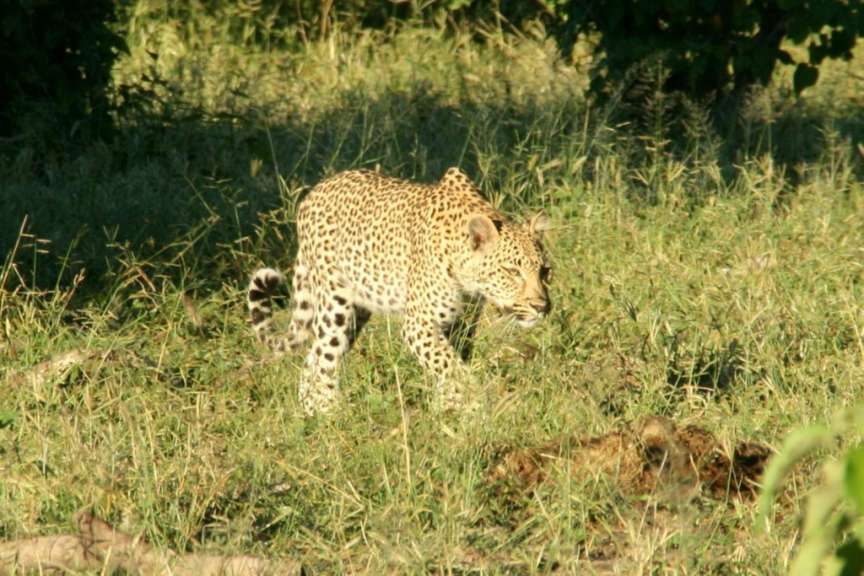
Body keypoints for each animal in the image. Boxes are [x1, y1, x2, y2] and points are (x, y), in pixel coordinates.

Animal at [247, 167, 552, 416]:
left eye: (545, 271)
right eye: (512, 271)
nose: (541, 306)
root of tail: (311, 195)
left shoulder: (460, 323)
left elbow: (451, 364)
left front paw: (449, 409)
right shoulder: (419, 325)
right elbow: (453, 367)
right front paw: (476, 405)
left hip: (358, 311)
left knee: (312, 359)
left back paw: (310, 412)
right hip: (335, 303)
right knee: (325, 358)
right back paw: (330, 415)